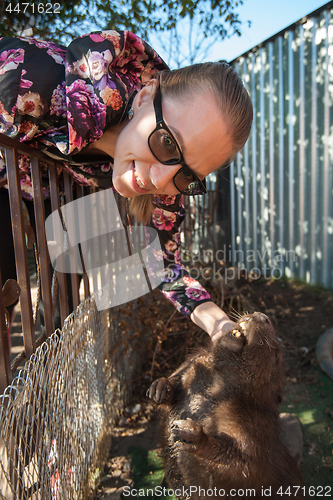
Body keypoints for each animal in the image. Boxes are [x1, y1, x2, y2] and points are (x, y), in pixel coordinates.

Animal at [147, 310, 308, 498]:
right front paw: (160, 388)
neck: (219, 385)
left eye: (276, 356)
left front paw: (189, 433)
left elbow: (244, 464)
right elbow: (178, 382)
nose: (263, 316)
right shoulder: (195, 365)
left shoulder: (255, 425)